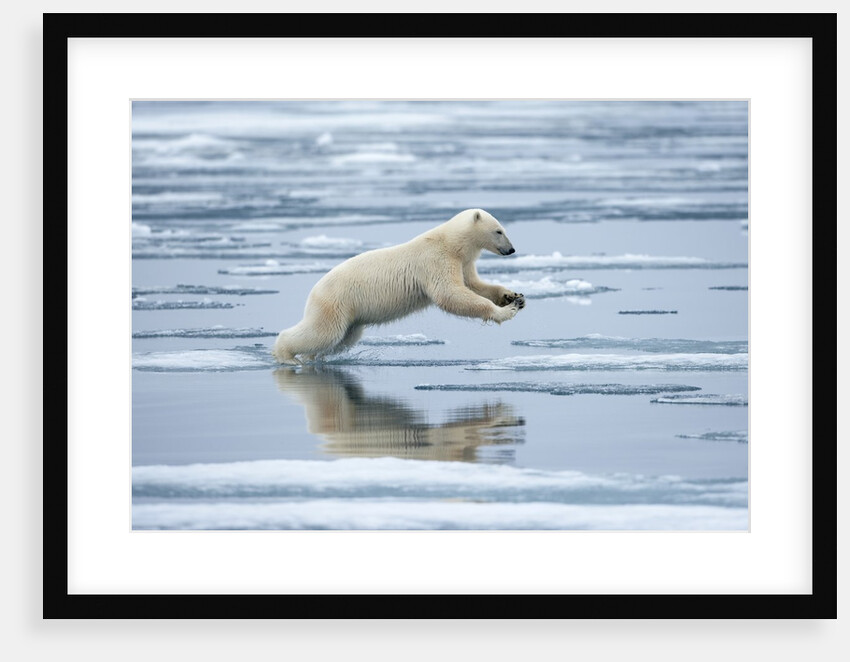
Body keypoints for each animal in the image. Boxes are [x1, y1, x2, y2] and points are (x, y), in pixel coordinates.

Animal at [272, 208, 525, 364]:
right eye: (499, 230)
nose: (511, 249)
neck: (451, 243)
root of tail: (314, 291)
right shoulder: (436, 260)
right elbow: (450, 294)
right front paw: (506, 311)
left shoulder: (462, 262)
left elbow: (474, 285)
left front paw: (513, 296)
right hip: (335, 302)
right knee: (322, 332)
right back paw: (287, 355)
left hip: (350, 317)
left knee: (342, 338)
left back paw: (312, 358)